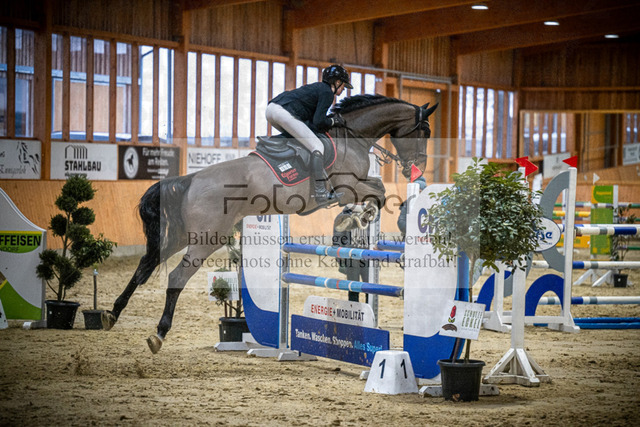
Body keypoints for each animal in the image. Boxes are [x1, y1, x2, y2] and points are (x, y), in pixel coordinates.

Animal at [101, 94, 438, 353]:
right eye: (423, 130)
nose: (417, 168)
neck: (352, 136)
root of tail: (190, 179)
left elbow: (377, 190)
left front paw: (356, 217)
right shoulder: (346, 187)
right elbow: (377, 193)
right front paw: (359, 215)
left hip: (184, 236)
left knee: (144, 266)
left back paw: (112, 314)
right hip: (206, 239)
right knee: (175, 277)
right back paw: (158, 334)